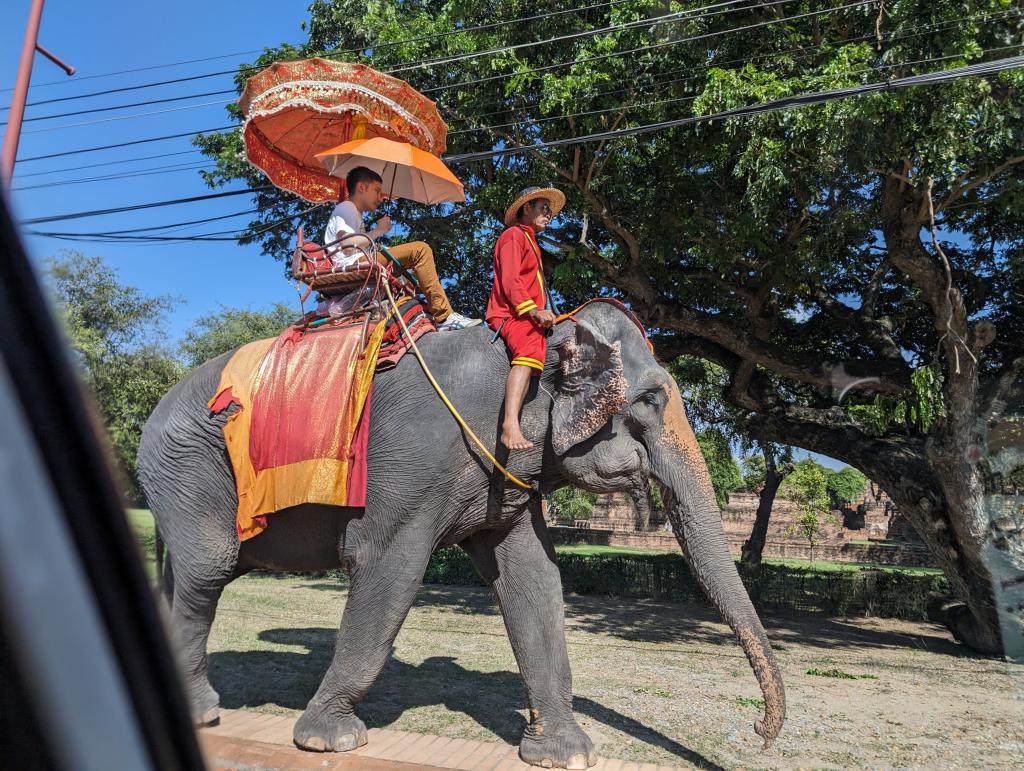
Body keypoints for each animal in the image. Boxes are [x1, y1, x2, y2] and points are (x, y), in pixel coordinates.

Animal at [140, 298, 786, 765]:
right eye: (652, 399)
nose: (758, 730)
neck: (536, 345)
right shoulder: (412, 463)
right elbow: (388, 569)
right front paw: (329, 739)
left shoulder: (504, 471)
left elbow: (534, 577)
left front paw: (565, 753)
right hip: (188, 466)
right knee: (210, 569)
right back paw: (202, 713)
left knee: (190, 575)